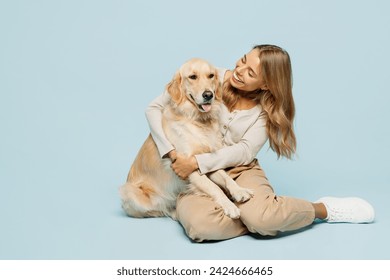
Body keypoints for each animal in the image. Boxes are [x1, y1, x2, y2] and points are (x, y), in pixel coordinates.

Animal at [119, 59, 253, 220]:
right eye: (192, 77)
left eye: (211, 75)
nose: (208, 95)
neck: (197, 119)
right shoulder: (188, 168)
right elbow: (214, 187)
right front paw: (229, 206)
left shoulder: (205, 162)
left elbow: (227, 178)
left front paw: (240, 191)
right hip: (129, 192)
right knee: (158, 210)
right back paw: (173, 212)